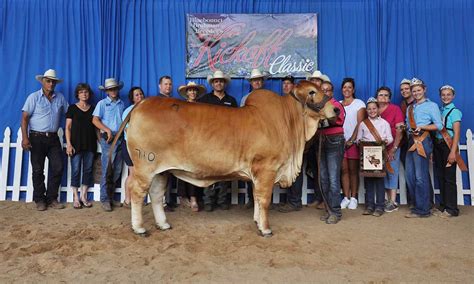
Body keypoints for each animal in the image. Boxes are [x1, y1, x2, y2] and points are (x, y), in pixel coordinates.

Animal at [108, 79, 336, 236]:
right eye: (312, 92)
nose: (335, 108)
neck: (288, 121)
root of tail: (140, 104)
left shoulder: (257, 174)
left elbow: (255, 197)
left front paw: (256, 222)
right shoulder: (266, 170)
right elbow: (263, 200)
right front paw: (265, 229)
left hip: (161, 171)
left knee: (156, 194)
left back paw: (163, 224)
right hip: (144, 167)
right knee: (137, 193)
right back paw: (139, 228)